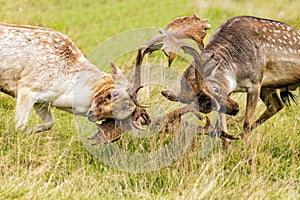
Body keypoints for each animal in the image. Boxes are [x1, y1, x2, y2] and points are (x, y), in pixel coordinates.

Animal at [0, 22, 146, 133]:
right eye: (113, 94)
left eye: (123, 114)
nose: (92, 115)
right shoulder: (27, 87)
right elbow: (20, 126)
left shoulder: (41, 101)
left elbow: (48, 123)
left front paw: (31, 131)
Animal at [141, 15, 300, 144]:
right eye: (206, 107)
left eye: (215, 89)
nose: (235, 108)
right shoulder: (239, 90)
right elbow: (222, 127)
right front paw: (228, 149)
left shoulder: (255, 82)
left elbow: (246, 123)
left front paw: (247, 155)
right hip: (268, 87)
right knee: (277, 105)